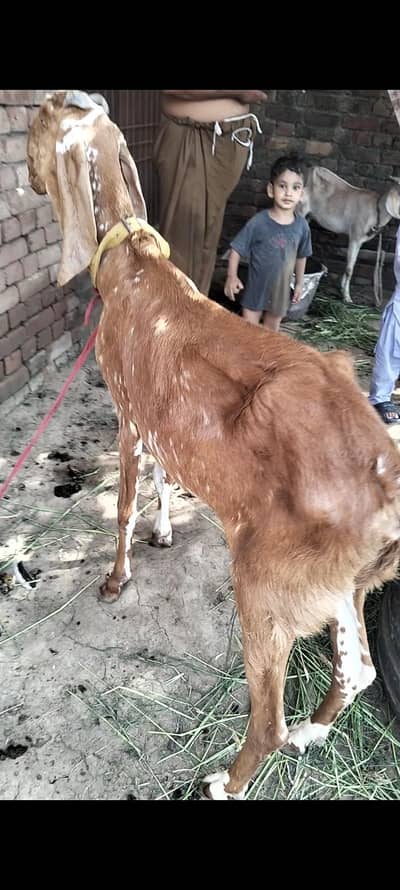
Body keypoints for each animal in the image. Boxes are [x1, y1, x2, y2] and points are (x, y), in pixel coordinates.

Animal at [300, 166, 400, 305]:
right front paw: (347, 297)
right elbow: (349, 269)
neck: (376, 210)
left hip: (309, 216)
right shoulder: (355, 237)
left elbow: (351, 264)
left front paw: (342, 288)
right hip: (300, 210)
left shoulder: (359, 241)